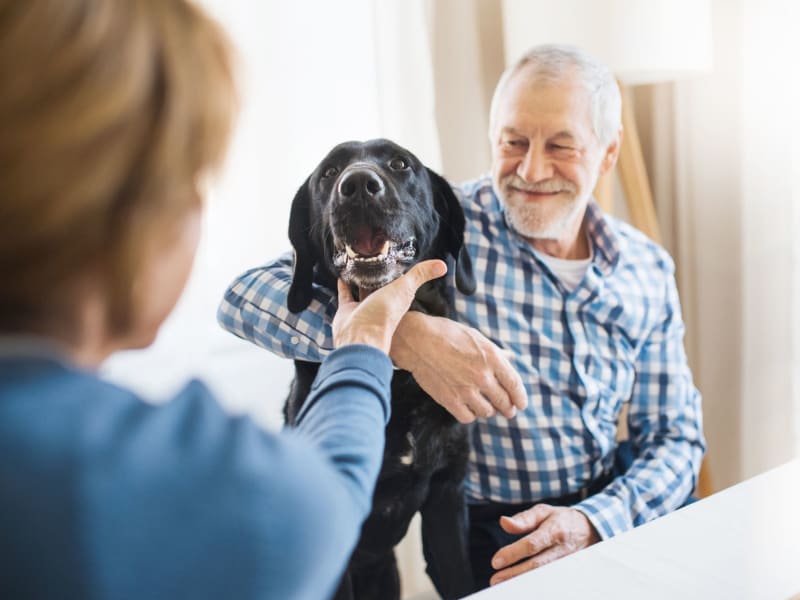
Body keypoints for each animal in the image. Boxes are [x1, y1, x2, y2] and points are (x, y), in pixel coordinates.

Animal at [286, 138, 476, 596]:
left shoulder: (448, 494)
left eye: (400, 163)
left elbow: (462, 577)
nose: (356, 185)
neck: (398, 379)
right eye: (328, 172)